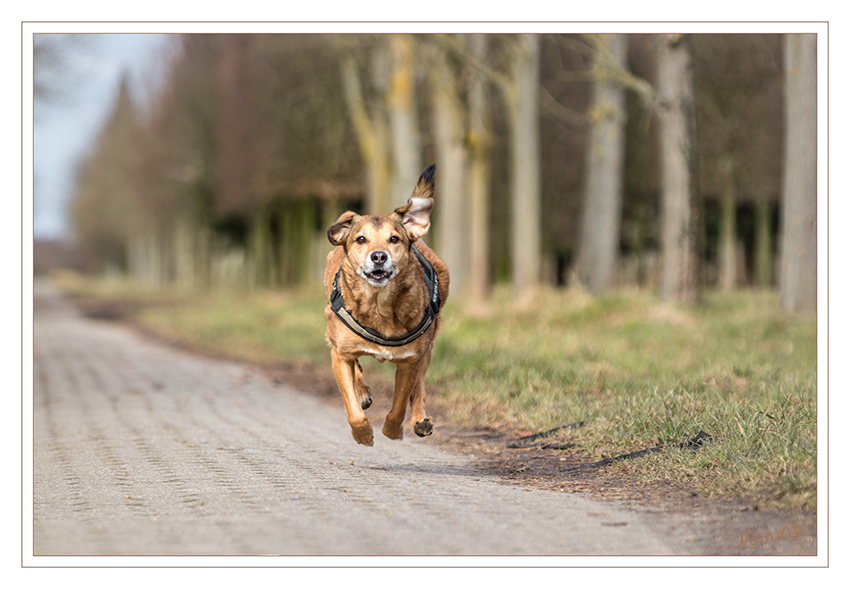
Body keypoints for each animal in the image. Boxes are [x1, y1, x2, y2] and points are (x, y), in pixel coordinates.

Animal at [322, 163, 448, 444]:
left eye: (394, 239)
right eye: (361, 239)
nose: (379, 256)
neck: (378, 305)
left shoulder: (410, 360)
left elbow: (400, 402)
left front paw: (393, 430)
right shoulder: (339, 354)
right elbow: (353, 408)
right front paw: (363, 434)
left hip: (429, 342)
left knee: (420, 385)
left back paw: (420, 420)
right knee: (356, 370)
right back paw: (363, 393)